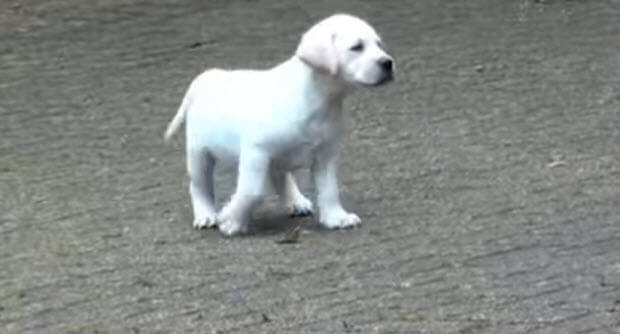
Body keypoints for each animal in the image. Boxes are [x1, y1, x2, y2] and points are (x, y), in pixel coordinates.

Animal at [166, 14, 392, 236]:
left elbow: (329, 189)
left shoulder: (325, 156)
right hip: (198, 153)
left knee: (281, 177)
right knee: (199, 186)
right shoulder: (256, 153)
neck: (317, 98)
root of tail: (204, 78)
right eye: (357, 47)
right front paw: (232, 220)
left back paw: (296, 201)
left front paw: (336, 217)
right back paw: (206, 215)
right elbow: (251, 192)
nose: (388, 63)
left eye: (379, 44)